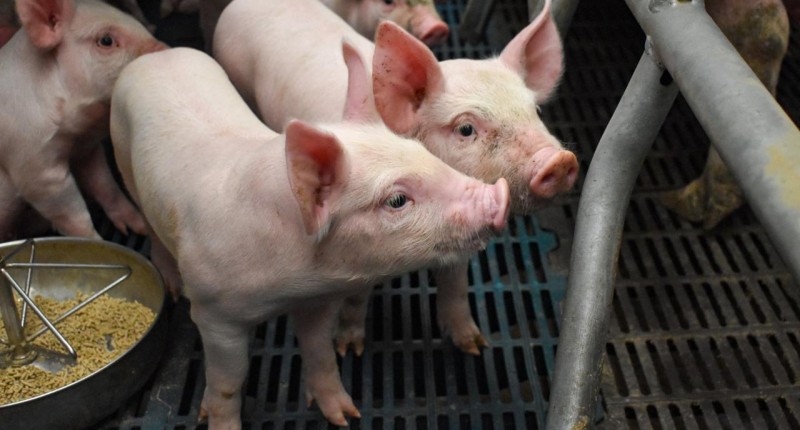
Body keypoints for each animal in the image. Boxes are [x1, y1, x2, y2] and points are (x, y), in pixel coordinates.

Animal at [0, 0, 165, 240]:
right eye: (106, 40)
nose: (167, 51)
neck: (75, 133)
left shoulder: (86, 149)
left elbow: (105, 184)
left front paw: (137, 228)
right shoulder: (33, 164)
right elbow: (72, 213)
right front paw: (96, 242)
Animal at [110, 46, 510, 429]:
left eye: (423, 152)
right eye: (397, 200)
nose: (500, 194)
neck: (289, 285)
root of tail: (156, 56)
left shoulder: (317, 301)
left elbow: (321, 353)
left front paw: (347, 417)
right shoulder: (214, 315)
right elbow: (228, 380)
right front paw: (219, 421)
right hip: (124, 158)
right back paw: (172, 284)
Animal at [214, 0, 576, 357]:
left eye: (536, 112)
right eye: (466, 128)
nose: (559, 160)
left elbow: (456, 285)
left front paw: (474, 346)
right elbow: (356, 299)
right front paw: (350, 349)